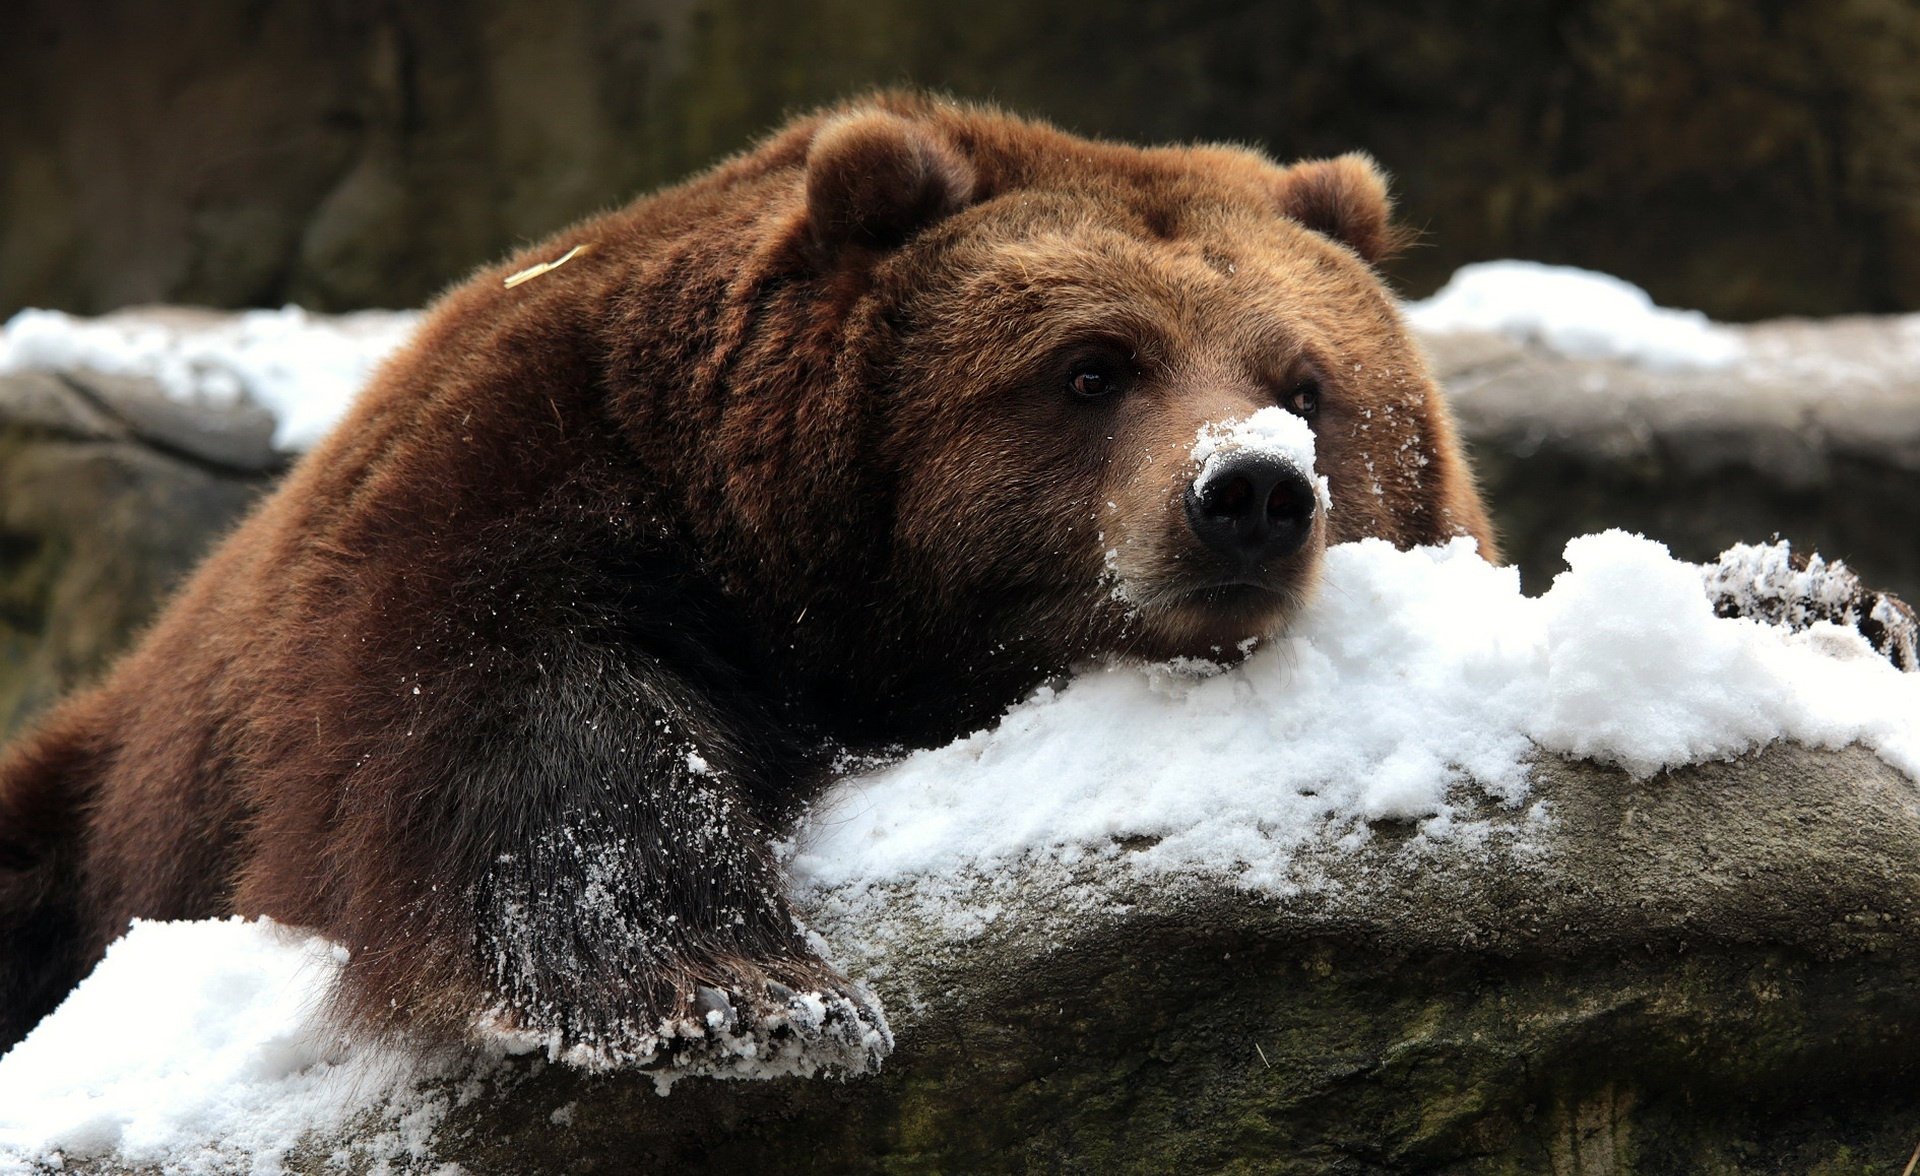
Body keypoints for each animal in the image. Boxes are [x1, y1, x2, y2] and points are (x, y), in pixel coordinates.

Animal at [0, 94, 1497, 1068]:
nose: (1250, 495)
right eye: (1091, 366)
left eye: (1307, 385)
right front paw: (737, 995)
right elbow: (519, 709)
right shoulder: (549, 467)